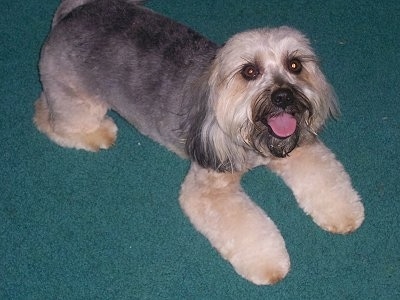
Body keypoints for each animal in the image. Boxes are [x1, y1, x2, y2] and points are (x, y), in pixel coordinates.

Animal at [35, 0, 366, 284]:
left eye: (295, 65)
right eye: (250, 71)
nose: (283, 96)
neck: (251, 137)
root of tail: (72, 13)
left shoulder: (298, 151)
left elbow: (326, 179)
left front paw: (344, 213)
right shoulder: (209, 188)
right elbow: (251, 229)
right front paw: (271, 264)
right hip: (77, 102)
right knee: (48, 117)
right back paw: (97, 134)